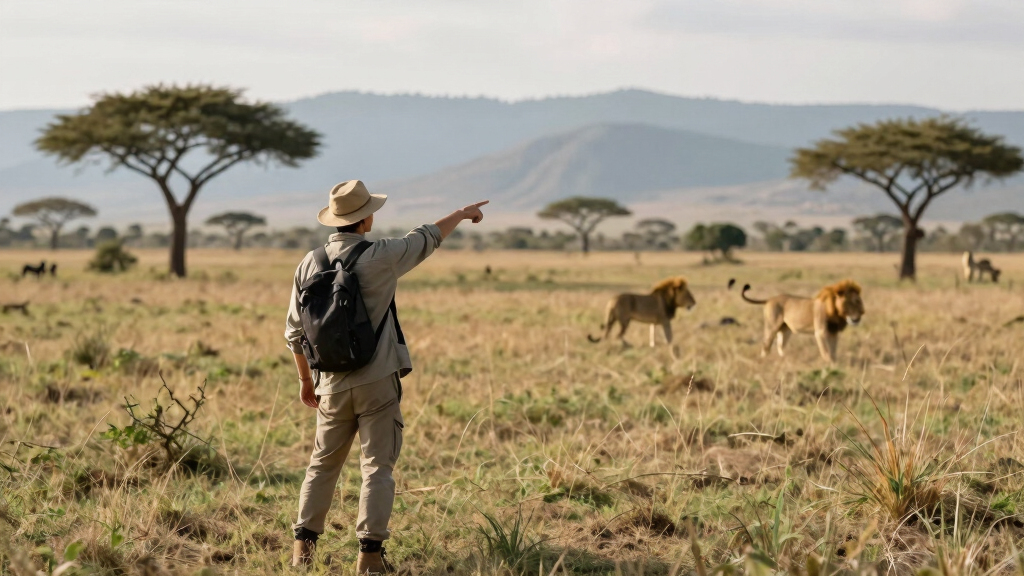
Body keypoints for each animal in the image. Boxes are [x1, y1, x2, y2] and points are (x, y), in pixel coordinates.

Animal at [734, 279, 864, 363]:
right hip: (772, 326)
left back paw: (785, 359)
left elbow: (833, 351)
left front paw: (835, 363)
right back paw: (765, 360)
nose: (857, 318)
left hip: (785, 329)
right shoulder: (821, 332)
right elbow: (826, 351)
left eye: (858, 301)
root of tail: (770, 299)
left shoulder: (833, 332)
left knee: (780, 345)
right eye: (850, 302)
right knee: (766, 343)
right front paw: (829, 365)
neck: (836, 312)